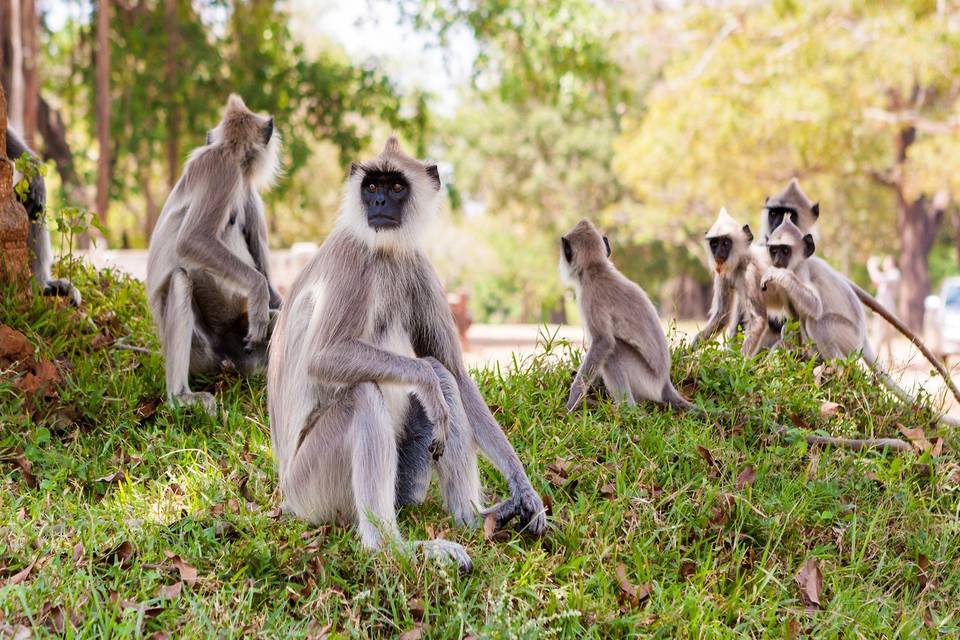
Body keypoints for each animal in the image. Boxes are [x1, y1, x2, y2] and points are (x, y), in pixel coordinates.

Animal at [144, 95, 282, 416]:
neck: (231, 153)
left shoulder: (247, 191)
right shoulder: (223, 169)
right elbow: (192, 240)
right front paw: (258, 292)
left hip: (245, 349)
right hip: (201, 351)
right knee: (180, 279)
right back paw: (180, 396)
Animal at [266, 136, 548, 576]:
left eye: (396, 187)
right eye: (371, 186)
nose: (379, 203)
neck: (383, 251)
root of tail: (287, 498)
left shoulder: (417, 263)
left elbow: (455, 373)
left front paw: (523, 488)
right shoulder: (353, 259)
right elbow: (325, 357)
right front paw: (426, 379)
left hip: (405, 478)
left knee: (442, 385)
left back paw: (473, 519)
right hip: (311, 488)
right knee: (366, 394)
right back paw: (390, 549)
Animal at [560, 218, 692, 412]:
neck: (596, 268)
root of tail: (664, 384)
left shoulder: (590, 296)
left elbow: (603, 342)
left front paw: (571, 402)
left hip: (646, 381)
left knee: (615, 349)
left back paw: (627, 410)